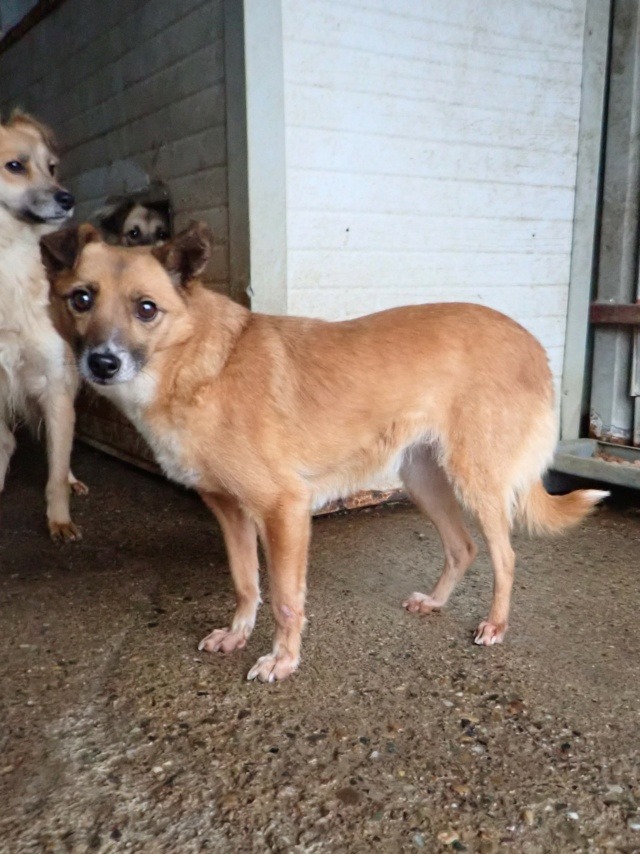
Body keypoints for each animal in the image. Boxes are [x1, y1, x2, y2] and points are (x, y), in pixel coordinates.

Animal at [41, 221, 608, 681]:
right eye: (81, 299)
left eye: (147, 309)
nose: (103, 363)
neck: (201, 365)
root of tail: (532, 342)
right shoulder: (228, 510)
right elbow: (246, 583)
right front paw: (237, 635)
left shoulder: (284, 510)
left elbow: (286, 601)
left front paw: (283, 660)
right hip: (422, 478)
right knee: (462, 547)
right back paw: (435, 601)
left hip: (476, 479)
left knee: (505, 556)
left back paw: (495, 624)